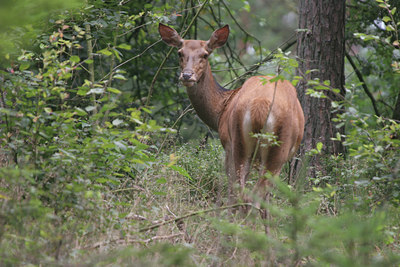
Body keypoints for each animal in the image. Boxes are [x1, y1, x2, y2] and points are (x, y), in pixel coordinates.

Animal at [159, 23, 304, 228]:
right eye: (180, 52)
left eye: (205, 54)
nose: (187, 75)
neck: (222, 109)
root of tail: (260, 104)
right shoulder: (228, 144)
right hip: (265, 148)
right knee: (248, 196)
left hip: (245, 145)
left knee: (246, 195)